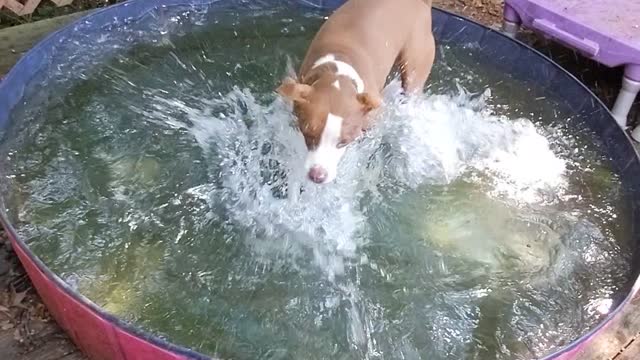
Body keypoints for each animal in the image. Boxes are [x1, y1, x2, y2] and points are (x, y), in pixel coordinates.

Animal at [276, 0, 436, 184]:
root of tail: (421, 3)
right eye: (308, 135)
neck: (337, 72)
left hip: (414, 73)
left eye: (343, 142)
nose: (318, 175)